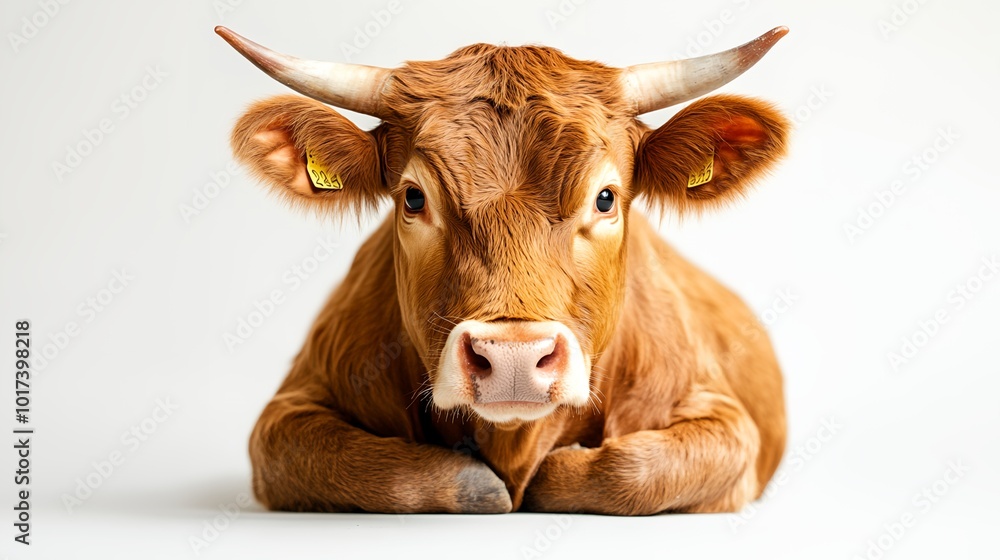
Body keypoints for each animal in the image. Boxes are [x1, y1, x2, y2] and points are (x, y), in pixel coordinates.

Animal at [217, 25, 790, 515]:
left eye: (605, 197)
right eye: (414, 197)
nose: (513, 357)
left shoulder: (721, 415)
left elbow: (633, 468)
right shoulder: (290, 408)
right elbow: (376, 470)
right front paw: (476, 484)